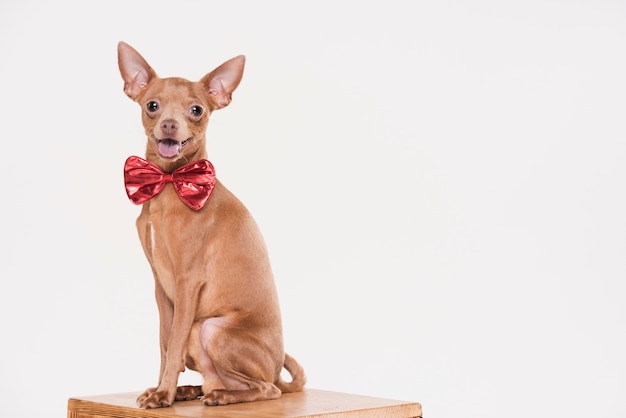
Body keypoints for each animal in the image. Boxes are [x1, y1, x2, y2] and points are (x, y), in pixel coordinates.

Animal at [118, 41, 306, 408]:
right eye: (152, 105)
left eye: (196, 110)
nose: (169, 125)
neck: (170, 183)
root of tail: (276, 369)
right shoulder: (163, 290)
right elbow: (165, 344)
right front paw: (163, 390)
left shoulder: (187, 283)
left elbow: (174, 342)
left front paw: (163, 393)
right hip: (201, 331)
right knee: (219, 378)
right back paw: (193, 390)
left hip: (210, 329)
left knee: (267, 389)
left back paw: (220, 396)